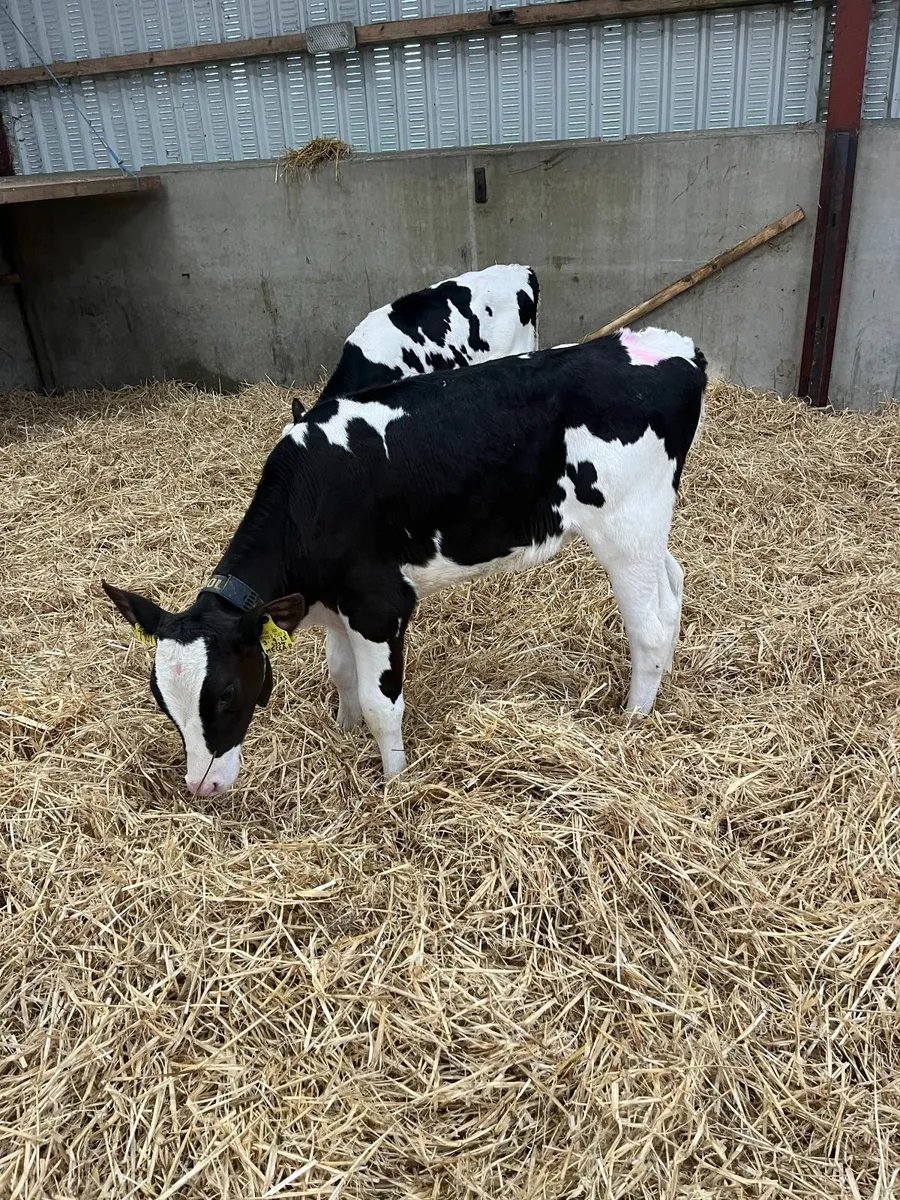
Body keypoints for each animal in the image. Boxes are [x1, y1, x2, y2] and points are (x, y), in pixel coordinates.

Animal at [102, 327, 706, 797]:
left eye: (227, 692)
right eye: (160, 698)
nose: (200, 785)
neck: (311, 497)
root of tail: (671, 346)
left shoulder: (377, 604)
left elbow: (381, 703)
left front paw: (393, 779)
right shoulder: (333, 604)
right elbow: (341, 672)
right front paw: (343, 730)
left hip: (625, 526)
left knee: (648, 627)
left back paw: (634, 717)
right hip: (649, 525)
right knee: (673, 584)